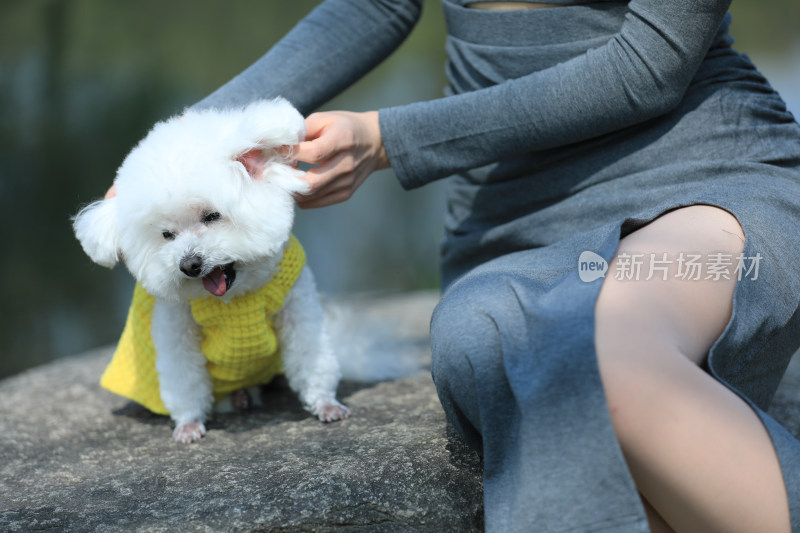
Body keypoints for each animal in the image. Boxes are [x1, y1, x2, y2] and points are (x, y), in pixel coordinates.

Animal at [72, 97, 350, 442]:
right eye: (166, 235)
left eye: (212, 216)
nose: (189, 264)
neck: (235, 297)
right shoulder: (175, 330)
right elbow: (185, 381)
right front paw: (189, 424)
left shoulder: (298, 308)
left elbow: (310, 356)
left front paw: (325, 403)